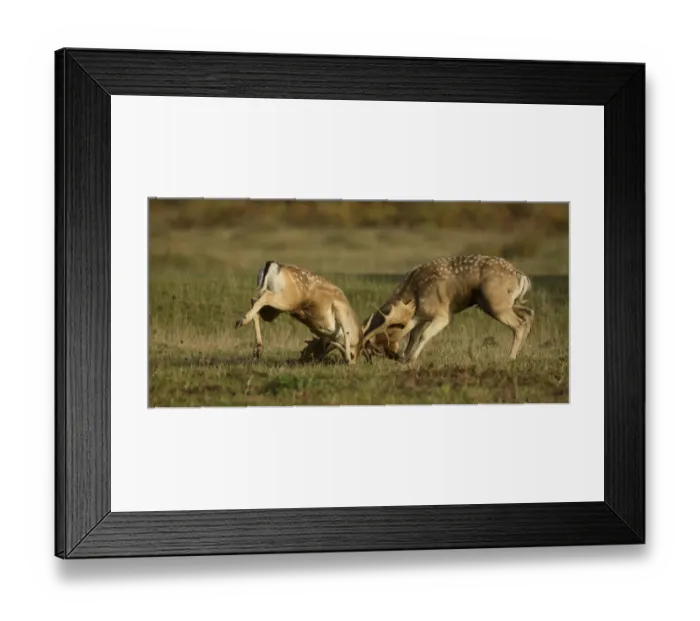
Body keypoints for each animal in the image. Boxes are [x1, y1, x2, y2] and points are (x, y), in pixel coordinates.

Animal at [234, 261, 363, 365]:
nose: (354, 361)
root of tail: (272, 266)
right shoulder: (339, 310)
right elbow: (346, 332)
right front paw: (347, 358)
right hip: (286, 301)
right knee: (264, 296)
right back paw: (241, 322)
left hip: (273, 309)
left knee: (254, 300)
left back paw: (257, 350)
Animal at [360, 255, 534, 362]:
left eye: (376, 344)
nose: (394, 357)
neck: (415, 295)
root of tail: (521, 276)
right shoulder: (421, 316)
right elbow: (413, 336)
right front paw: (406, 357)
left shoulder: (443, 315)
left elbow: (424, 335)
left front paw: (411, 358)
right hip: (505, 303)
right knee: (528, 314)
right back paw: (518, 353)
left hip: (495, 304)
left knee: (519, 324)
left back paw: (510, 357)